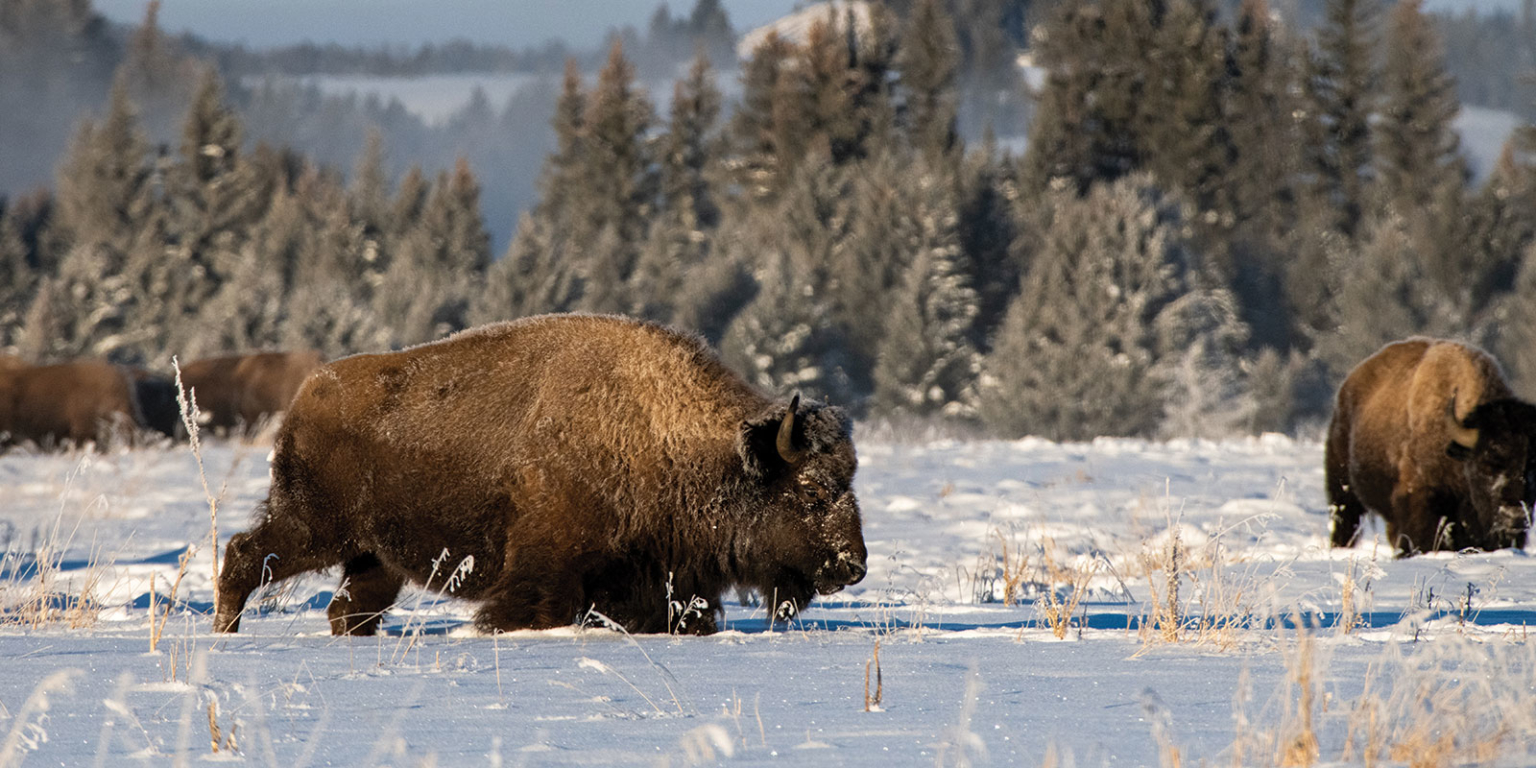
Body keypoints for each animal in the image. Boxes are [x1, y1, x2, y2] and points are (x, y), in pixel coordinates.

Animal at [213, 311, 878, 635]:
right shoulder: (547, 566)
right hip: (316, 527)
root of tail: (307, 394)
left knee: (349, 608)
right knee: (245, 553)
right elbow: (530, 611)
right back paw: (225, 630)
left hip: (373, 555)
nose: (853, 566)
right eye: (812, 489)